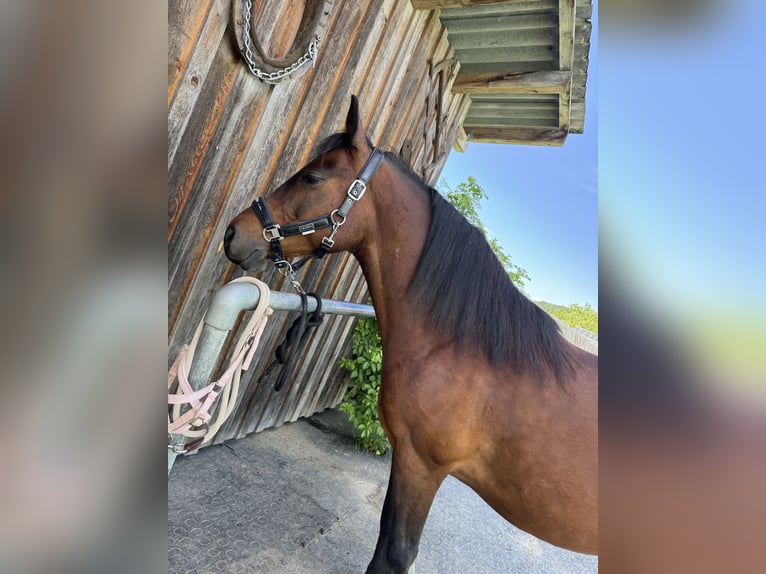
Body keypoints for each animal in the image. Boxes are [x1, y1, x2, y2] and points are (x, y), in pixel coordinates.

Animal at [223, 95, 598, 573]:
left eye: (312, 176)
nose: (234, 233)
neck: (456, 348)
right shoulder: (405, 459)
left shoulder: (420, 465)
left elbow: (394, 553)